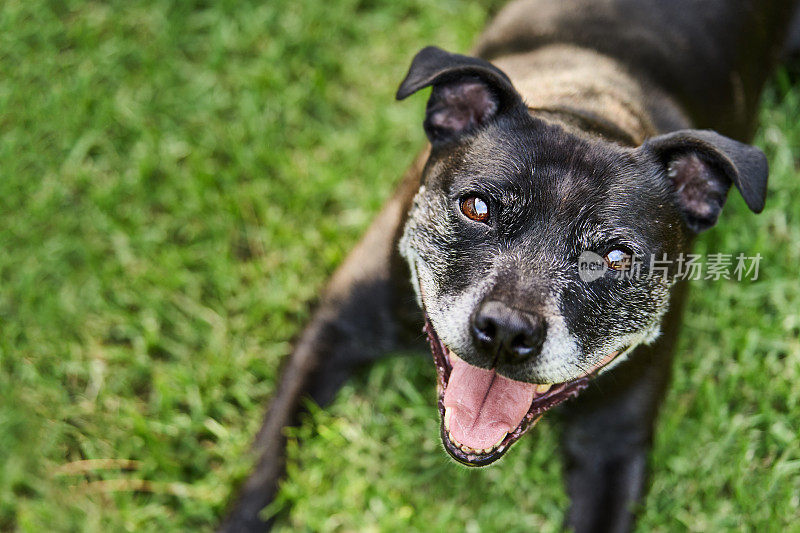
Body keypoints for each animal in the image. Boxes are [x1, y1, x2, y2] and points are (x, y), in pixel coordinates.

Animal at [220, 2, 800, 528]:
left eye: (615, 258)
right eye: (477, 207)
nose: (506, 330)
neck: (589, 112)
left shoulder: (613, 445)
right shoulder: (335, 327)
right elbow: (268, 457)